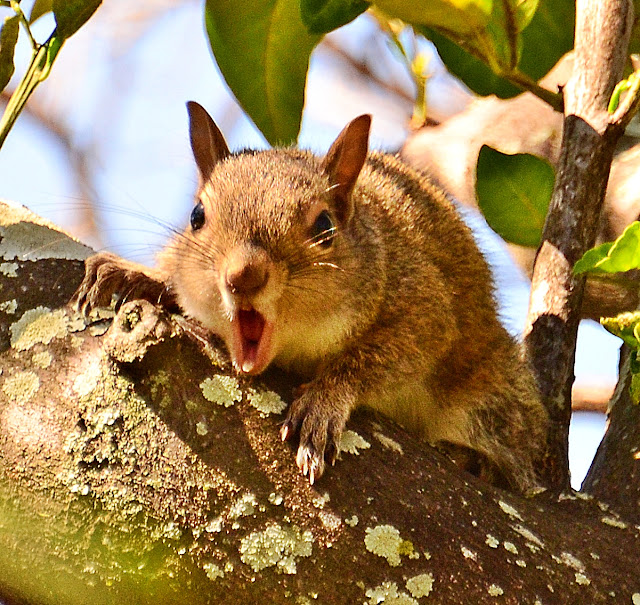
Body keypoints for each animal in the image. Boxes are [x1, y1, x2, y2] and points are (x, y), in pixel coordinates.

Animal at [73, 101, 548, 491]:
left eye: (324, 227)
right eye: (196, 216)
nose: (243, 276)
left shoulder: (423, 308)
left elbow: (385, 358)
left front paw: (323, 401)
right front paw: (137, 274)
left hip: (494, 395)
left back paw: (474, 461)